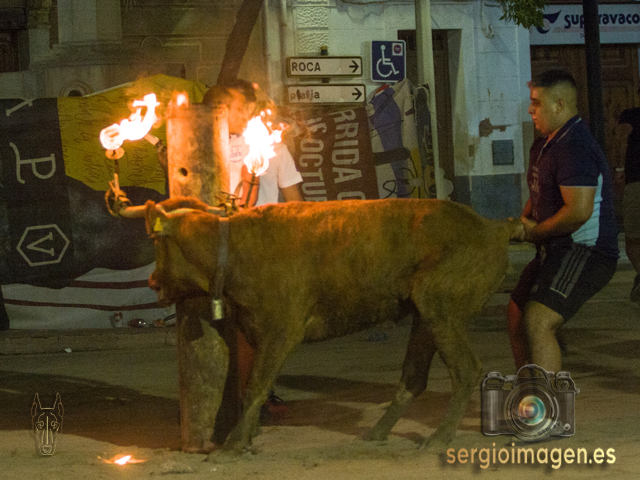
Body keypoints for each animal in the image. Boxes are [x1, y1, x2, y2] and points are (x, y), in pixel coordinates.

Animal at [145, 196, 524, 453]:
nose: (150, 280)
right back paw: (378, 432)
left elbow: (256, 385)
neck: (234, 248)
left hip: (441, 309)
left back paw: (438, 437)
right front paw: (245, 438)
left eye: (157, 242)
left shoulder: (282, 329)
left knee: (466, 369)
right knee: (413, 378)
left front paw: (234, 444)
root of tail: (494, 228)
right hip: (426, 316)